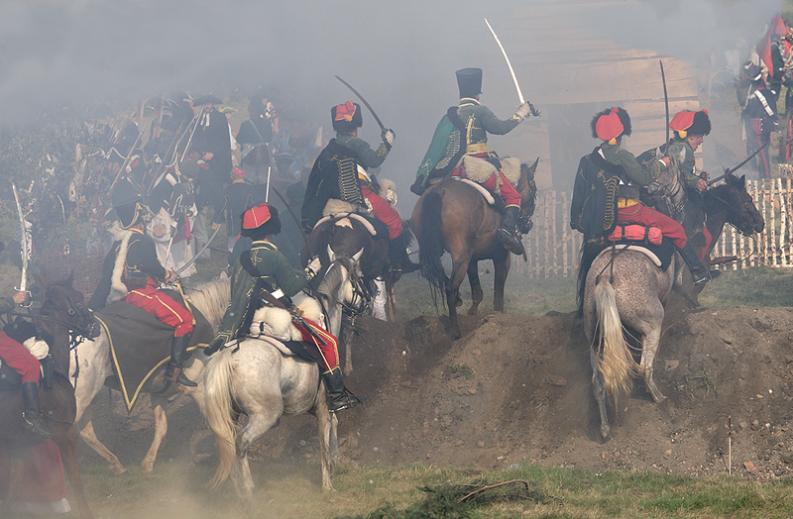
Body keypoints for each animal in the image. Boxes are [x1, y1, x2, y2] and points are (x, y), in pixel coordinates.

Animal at [0, 276, 96, 516]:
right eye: (77, 300)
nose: (95, 326)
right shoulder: (65, 436)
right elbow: (77, 483)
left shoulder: (18, 448)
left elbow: (10, 493)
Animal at [67, 276, 229, 476]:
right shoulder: (199, 389)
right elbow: (213, 421)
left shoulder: (159, 393)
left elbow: (162, 427)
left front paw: (148, 463)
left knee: (85, 431)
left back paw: (116, 464)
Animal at [201, 254, 362, 498]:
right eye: (359, 277)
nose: (366, 301)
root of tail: (229, 356)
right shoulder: (324, 405)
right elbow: (324, 439)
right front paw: (328, 483)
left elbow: (333, 426)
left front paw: (335, 462)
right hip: (266, 415)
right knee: (241, 444)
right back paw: (248, 492)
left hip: (232, 415)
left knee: (229, 444)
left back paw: (238, 489)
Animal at [408, 158, 540, 338]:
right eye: (534, 189)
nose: (528, 224)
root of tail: (439, 192)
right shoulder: (501, 257)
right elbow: (498, 290)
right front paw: (498, 314)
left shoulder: (473, 260)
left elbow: (477, 290)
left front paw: (473, 312)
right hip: (461, 257)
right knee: (450, 288)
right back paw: (455, 330)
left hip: (435, 252)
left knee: (433, 274)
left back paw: (457, 301)